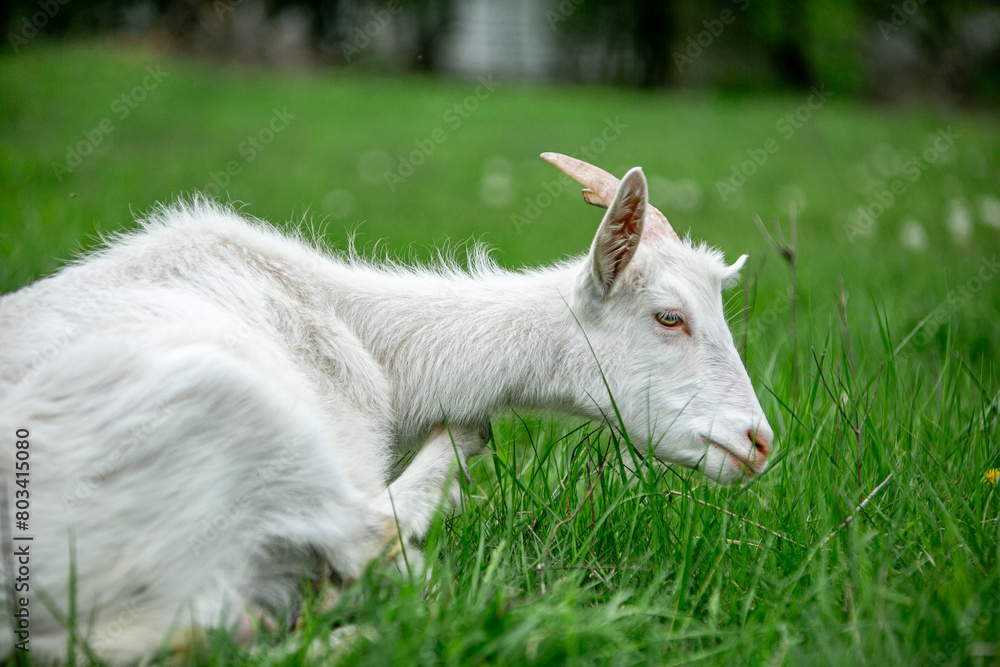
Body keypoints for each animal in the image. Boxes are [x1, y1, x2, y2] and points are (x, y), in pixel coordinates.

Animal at [0, 153, 772, 664]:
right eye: (669, 317)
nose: (759, 441)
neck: (365, 333)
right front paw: (465, 435)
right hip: (227, 407)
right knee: (371, 543)